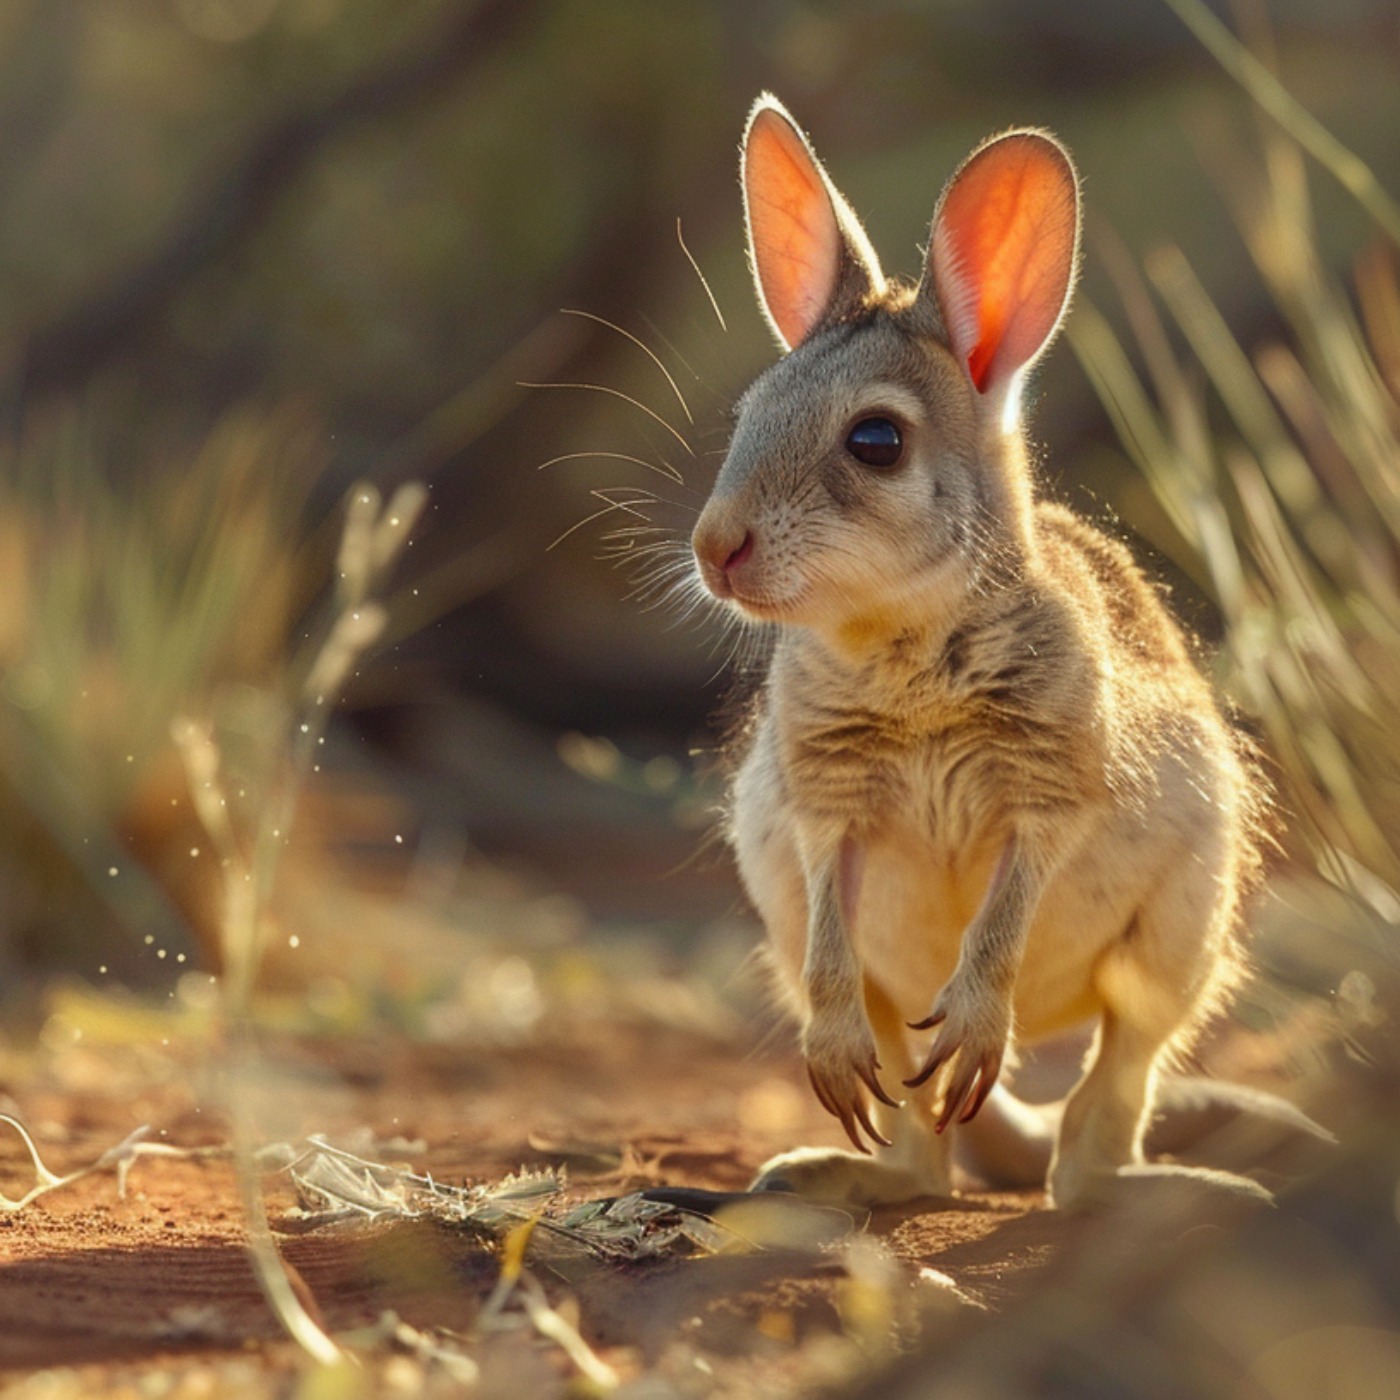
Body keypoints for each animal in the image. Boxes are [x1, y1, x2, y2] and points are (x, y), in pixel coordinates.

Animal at [689, 94, 1274, 1211]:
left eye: (876, 442)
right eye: (747, 416)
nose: (713, 549)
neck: (905, 644)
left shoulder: (1051, 788)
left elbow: (1004, 913)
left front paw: (971, 1023)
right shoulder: (821, 811)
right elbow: (832, 934)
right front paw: (833, 1058)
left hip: (1176, 947)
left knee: (1097, 1118)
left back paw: (1168, 1185)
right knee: (921, 1139)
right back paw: (834, 1165)